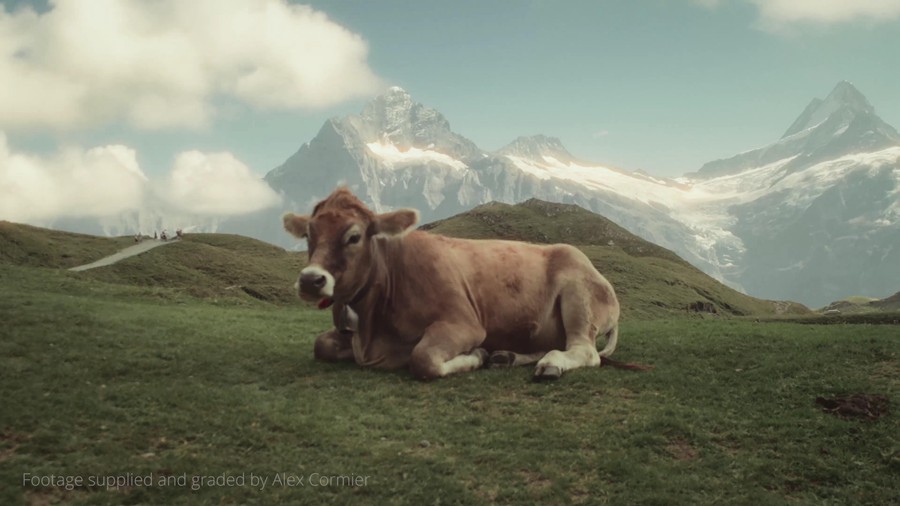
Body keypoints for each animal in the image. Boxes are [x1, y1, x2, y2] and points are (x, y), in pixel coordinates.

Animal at [284, 187, 624, 380]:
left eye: (354, 236)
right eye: (308, 235)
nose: (311, 280)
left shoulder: (464, 324)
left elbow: (422, 359)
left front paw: (476, 357)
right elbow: (321, 345)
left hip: (578, 297)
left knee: (584, 351)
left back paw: (550, 364)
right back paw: (507, 356)